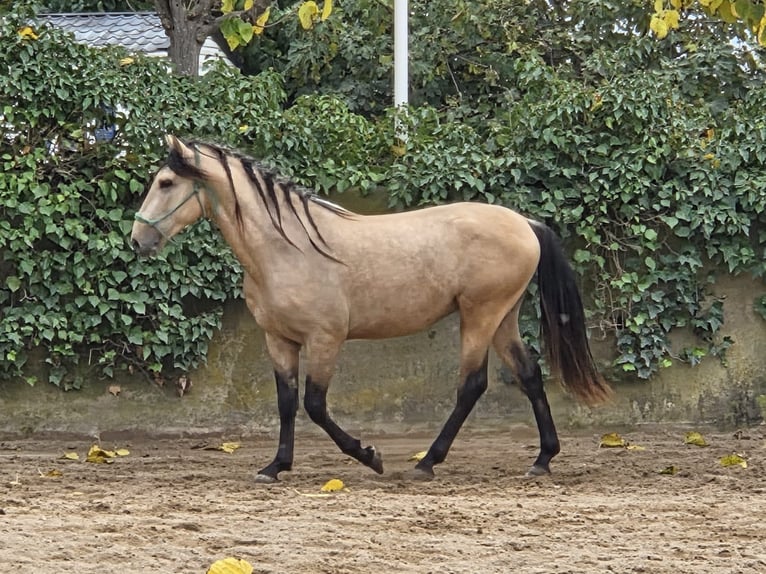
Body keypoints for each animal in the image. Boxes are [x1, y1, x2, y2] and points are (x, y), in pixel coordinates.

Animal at [131, 135, 611, 483]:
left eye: (167, 183)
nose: (138, 240)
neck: (286, 247)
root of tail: (525, 224)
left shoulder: (325, 339)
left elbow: (315, 405)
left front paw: (369, 455)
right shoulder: (279, 339)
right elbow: (286, 402)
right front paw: (275, 467)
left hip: (480, 316)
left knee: (472, 385)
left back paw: (426, 463)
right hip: (501, 318)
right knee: (529, 376)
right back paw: (542, 459)